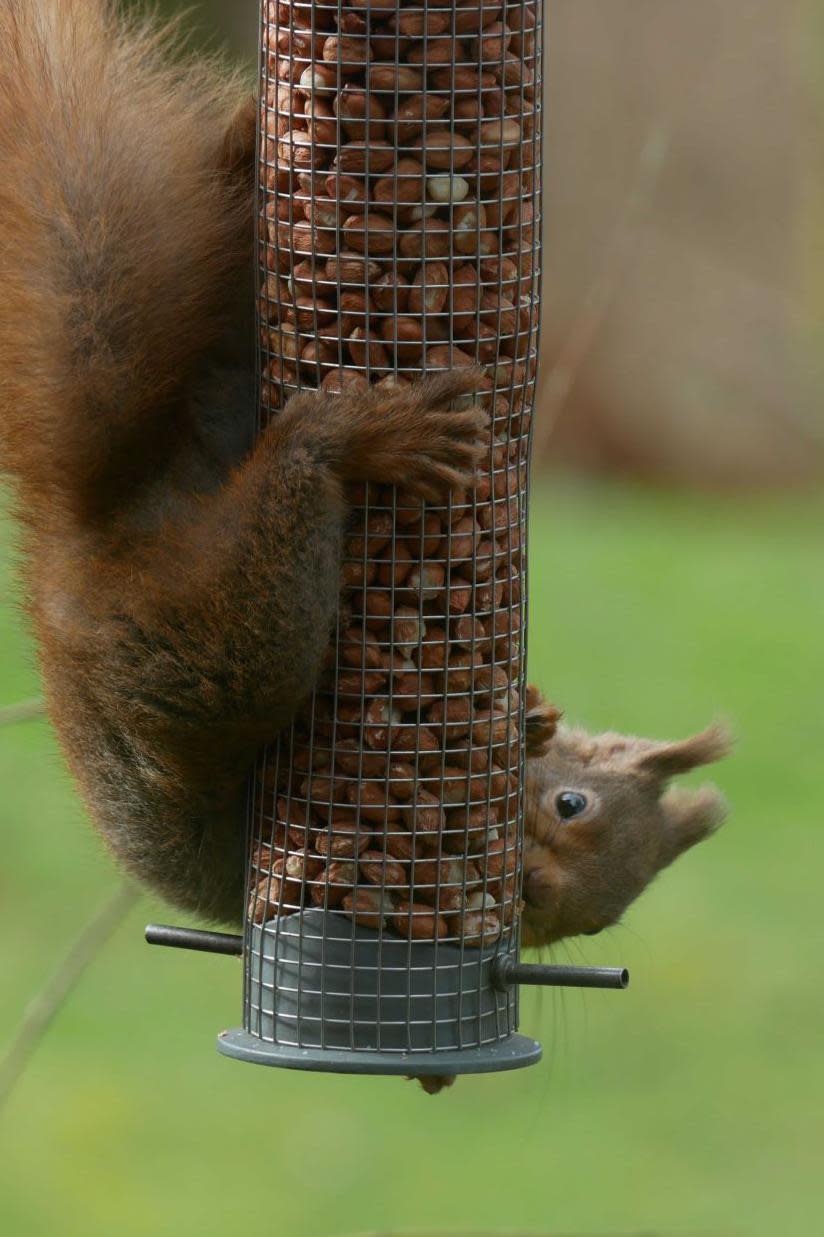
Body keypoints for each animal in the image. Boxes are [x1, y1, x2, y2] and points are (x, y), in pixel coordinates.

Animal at [0, 4, 727, 945]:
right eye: (574, 803)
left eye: (585, 922)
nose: (531, 881)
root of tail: (101, 530)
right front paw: (530, 723)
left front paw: (530, 715)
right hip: (227, 640)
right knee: (290, 490)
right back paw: (358, 428)